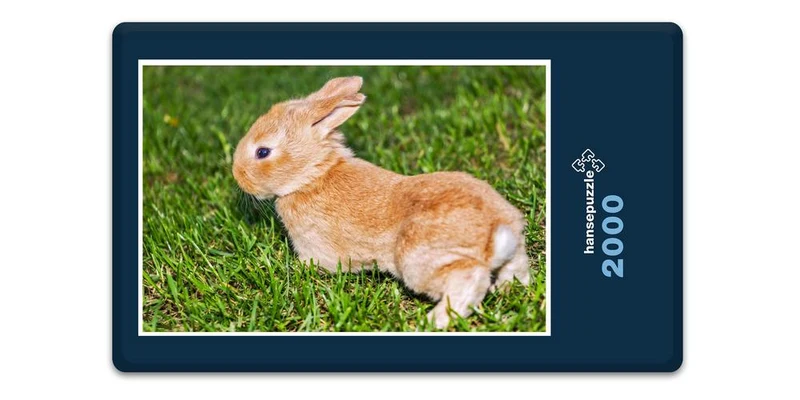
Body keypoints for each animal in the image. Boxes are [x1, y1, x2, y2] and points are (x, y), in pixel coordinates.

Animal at [232, 76, 531, 329]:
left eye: (262, 152)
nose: (237, 174)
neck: (313, 175)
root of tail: (497, 231)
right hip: (511, 251)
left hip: (418, 261)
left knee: (468, 282)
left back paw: (433, 320)